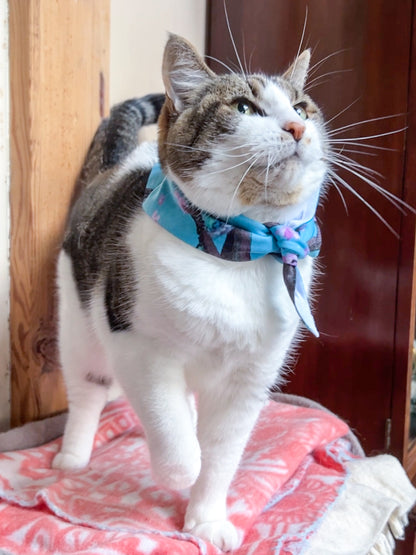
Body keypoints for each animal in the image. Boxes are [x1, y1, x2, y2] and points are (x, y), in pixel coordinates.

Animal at [52, 34, 328, 552]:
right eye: (244, 107)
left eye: (302, 107)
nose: (298, 127)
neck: (236, 257)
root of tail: (118, 166)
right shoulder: (138, 350)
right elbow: (179, 442)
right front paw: (179, 470)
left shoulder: (248, 379)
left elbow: (221, 455)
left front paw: (205, 521)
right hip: (79, 326)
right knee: (87, 390)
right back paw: (73, 455)